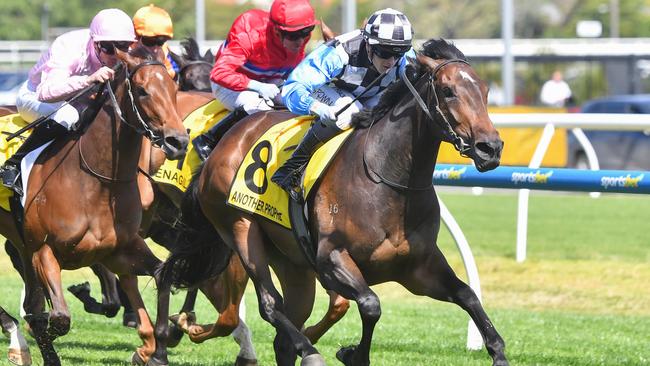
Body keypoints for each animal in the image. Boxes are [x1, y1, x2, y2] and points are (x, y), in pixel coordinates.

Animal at [9, 46, 187, 366]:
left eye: (174, 88)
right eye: (142, 90)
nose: (178, 141)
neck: (97, 182)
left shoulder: (120, 249)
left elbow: (162, 276)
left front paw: (153, 350)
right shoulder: (43, 250)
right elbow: (57, 318)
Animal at [162, 38, 506, 364]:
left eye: (485, 90)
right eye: (448, 91)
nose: (490, 147)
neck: (388, 179)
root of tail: (224, 142)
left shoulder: (418, 270)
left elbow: (468, 295)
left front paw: (497, 350)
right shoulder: (331, 259)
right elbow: (370, 304)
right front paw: (353, 353)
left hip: (292, 263)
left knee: (284, 333)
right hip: (240, 229)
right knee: (271, 306)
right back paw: (309, 350)